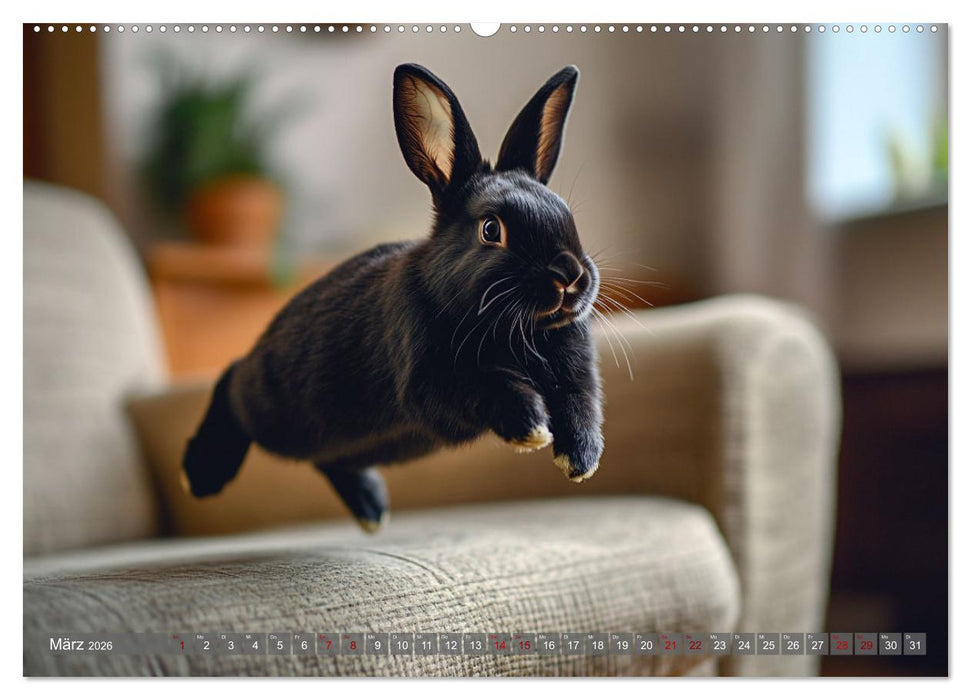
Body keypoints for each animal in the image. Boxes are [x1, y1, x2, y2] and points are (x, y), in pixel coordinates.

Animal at [182, 63, 604, 533]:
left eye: (567, 215)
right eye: (491, 229)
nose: (570, 276)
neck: (518, 328)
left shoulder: (576, 374)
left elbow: (580, 407)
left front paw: (581, 461)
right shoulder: (432, 378)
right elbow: (494, 386)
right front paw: (532, 428)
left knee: (329, 459)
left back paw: (371, 510)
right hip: (275, 410)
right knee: (232, 381)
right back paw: (203, 473)